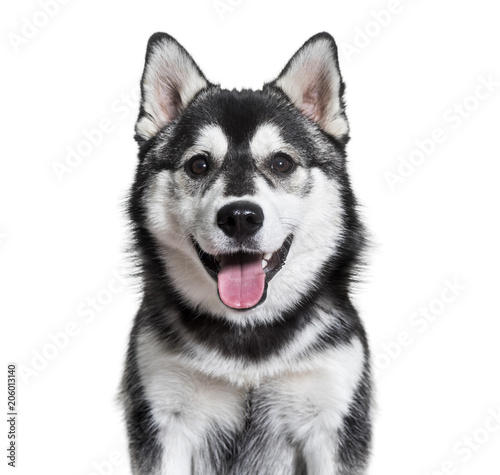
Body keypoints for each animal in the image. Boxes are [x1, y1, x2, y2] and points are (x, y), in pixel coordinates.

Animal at [120, 31, 372, 474]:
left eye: (282, 162)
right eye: (199, 165)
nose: (240, 217)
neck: (249, 336)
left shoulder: (331, 421)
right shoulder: (163, 416)